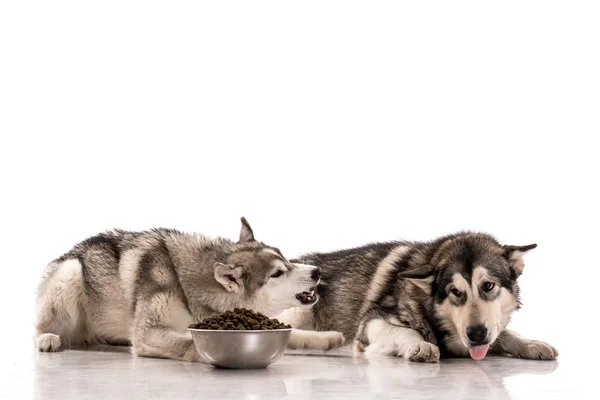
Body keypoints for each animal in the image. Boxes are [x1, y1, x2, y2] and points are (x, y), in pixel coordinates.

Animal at [35, 217, 344, 360]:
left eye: (287, 259)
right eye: (278, 273)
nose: (316, 272)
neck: (185, 285)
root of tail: (73, 249)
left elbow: (296, 333)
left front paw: (327, 338)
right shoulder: (149, 333)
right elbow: (187, 343)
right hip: (70, 272)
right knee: (44, 327)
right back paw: (48, 337)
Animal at [284, 231, 556, 362]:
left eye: (488, 286)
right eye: (455, 292)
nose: (476, 334)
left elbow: (506, 334)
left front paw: (531, 344)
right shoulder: (370, 323)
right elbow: (403, 331)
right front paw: (419, 344)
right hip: (301, 306)